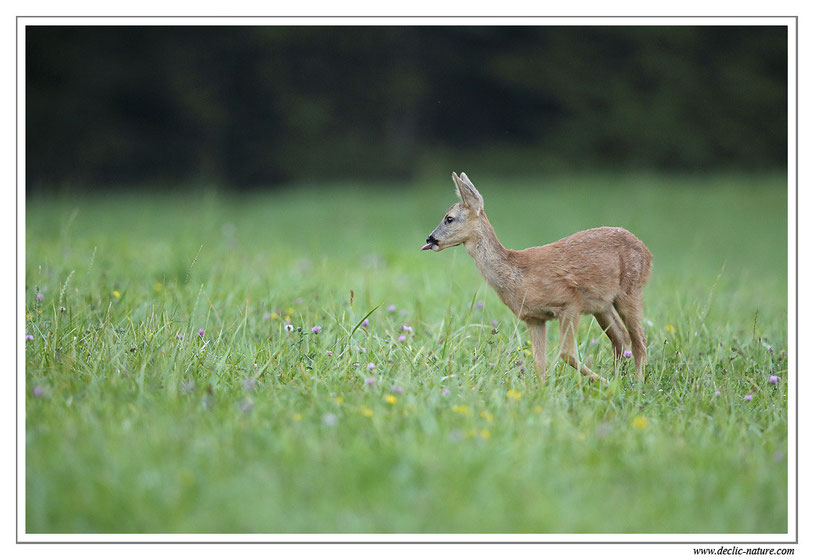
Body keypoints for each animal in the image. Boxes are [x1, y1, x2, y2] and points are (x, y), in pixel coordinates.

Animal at [424, 173, 652, 384]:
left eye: (449, 218)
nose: (430, 238)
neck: (518, 275)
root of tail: (647, 251)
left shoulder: (570, 302)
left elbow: (565, 353)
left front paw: (602, 382)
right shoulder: (533, 318)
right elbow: (539, 363)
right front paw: (541, 391)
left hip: (631, 290)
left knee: (639, 339)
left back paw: (635, 383)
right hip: (602, 305)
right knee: (621, 338)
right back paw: (619, 378)